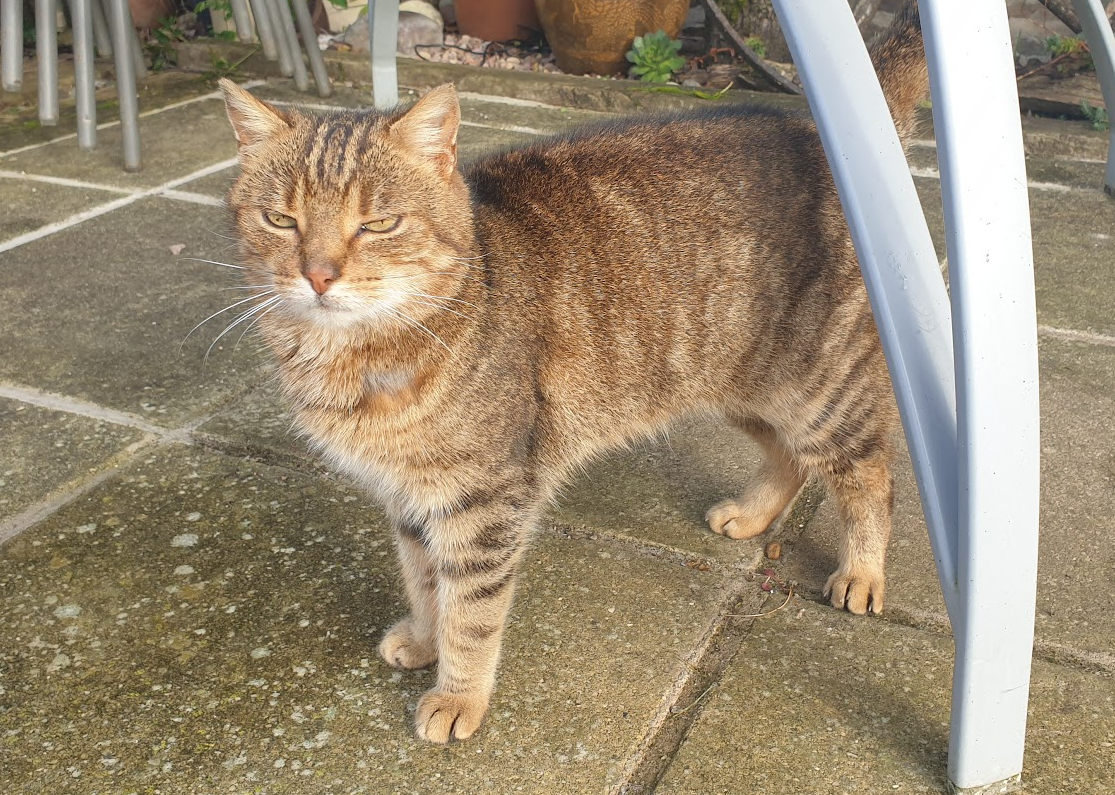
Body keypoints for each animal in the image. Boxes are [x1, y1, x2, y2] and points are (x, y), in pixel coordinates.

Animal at [217, 6, 932, 740]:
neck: (361, 357)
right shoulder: (412, 500)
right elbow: (424, 583)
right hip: (739, 387)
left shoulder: (482, 500)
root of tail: (817, 129)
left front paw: (458, 694)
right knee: (792, 459)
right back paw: (754, 513)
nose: (318, 274)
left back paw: (863, 569)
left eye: (379, 223)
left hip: (817, 393)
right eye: (281, 218)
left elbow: (469, 611)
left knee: (872, 475)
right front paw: (422, 638)